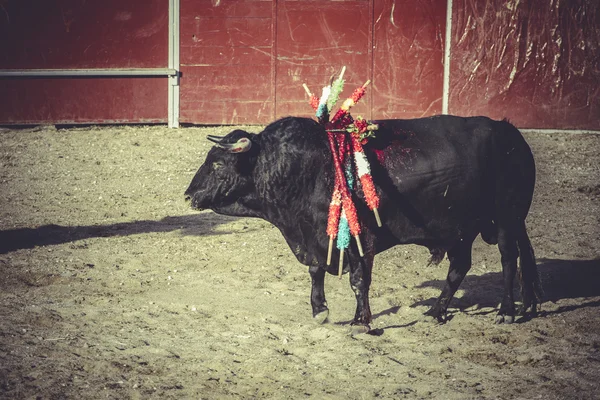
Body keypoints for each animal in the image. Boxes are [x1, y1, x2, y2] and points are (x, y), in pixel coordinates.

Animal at [185, 115, 540, 328]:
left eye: (217, 164)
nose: (189, 195)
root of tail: (510, 132)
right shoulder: (316, 236)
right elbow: (316, 271)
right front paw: (320, 310)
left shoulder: (362, 239)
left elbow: (359, 281)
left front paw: (361, 321)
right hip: (460, 230)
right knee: (460, 267)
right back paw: (437, 311)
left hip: (507, 219)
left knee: (509, 259)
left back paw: (506, 311)